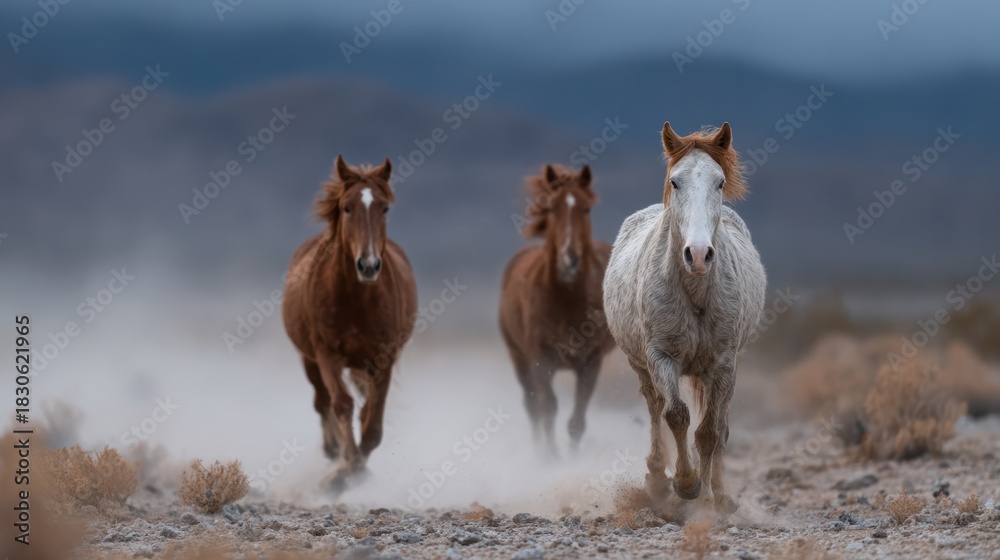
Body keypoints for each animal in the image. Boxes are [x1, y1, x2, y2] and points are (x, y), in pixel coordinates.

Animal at [282, 154, 417, 493]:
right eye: (346, 207)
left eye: (385, 208)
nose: (368, 265)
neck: (357, 301)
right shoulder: (327, 355)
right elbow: (341, 405)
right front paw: (344, 471)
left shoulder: (383, 360)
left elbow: (372, 423)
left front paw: (353, 470)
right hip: (309, 360)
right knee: (322, 402)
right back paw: (332, 452)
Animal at [499, 164, 616, 455]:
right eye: (552, 208)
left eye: (586, 209)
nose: (568, 259)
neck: (566, 300)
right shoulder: (540, 360)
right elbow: (547, 409)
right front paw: (551, 458)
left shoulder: (590, 363)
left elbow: (577, 420)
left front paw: (572, 459)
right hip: (518, 357)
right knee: (532, 405)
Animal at [602, 122, 766, 512]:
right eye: (676, 181)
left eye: (720, 182)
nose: (699, 254)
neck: (694, 291)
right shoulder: (661, 356)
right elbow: (676, 415)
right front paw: (685, 483)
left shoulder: (723, 363)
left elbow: (708, 433)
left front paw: (705, 495)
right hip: (642, 366)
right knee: (655, 408)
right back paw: (658, 478)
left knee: (720, 427)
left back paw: (719, 493)